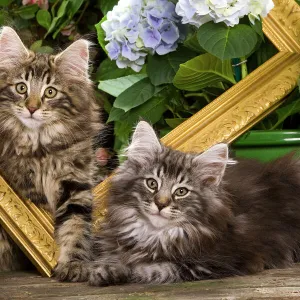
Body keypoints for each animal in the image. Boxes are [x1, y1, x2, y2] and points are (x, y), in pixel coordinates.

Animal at [0, 26, 101, 282]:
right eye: (21, 88)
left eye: (51, 92)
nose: (32, 108)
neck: (40, 149)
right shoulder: (23, 186)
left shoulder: (74, 183)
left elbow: (75, 227)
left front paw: (73, 265)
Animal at [89, 120, 300, 284]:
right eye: (152, 183)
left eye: (181, 191)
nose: (161, 204)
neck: (155, 234)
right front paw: (108, 267)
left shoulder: (218, 261)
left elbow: (153, 267)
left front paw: (123, 268)